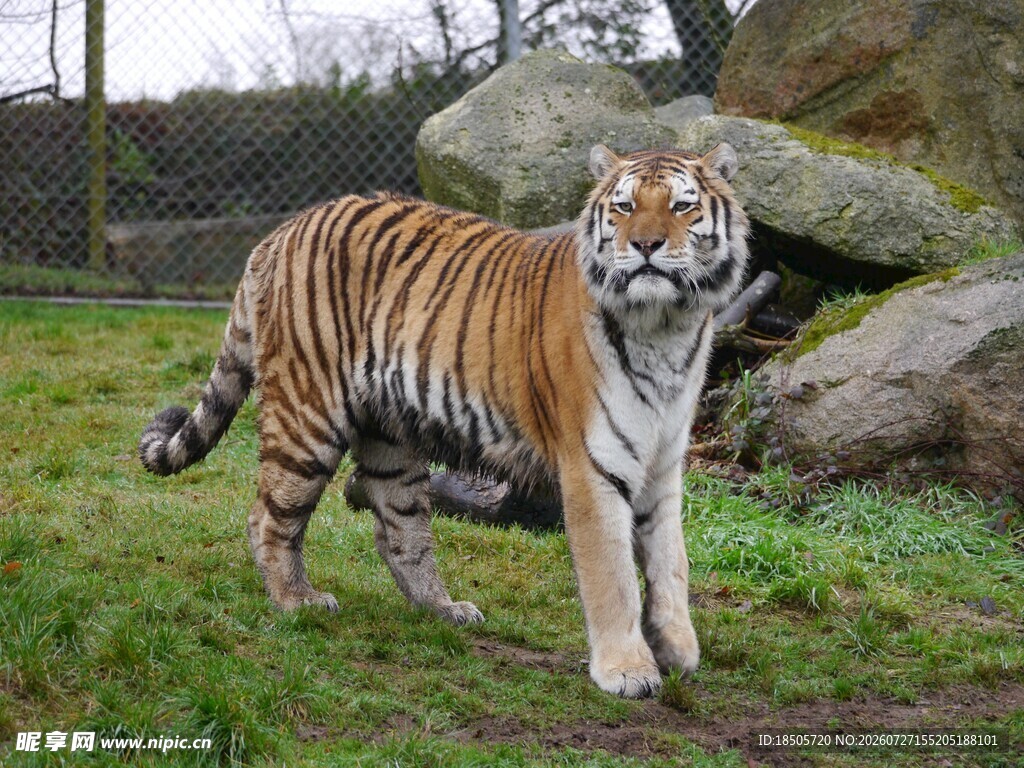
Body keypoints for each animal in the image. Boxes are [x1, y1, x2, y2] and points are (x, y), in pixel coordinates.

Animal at [139, 142, 749, 698]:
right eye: (624, 208)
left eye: (682, 206)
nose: (645, 245)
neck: (665, 327)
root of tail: (282, 231)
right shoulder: (592, 467)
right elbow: (613, 574)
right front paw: (627, 671)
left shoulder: (662, 463)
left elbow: (672, 561)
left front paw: (678, 650)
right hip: (307, 413)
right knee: (269, 515)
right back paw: (297, 602)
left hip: (390, 434)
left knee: (398, 529)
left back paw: (443, 609)